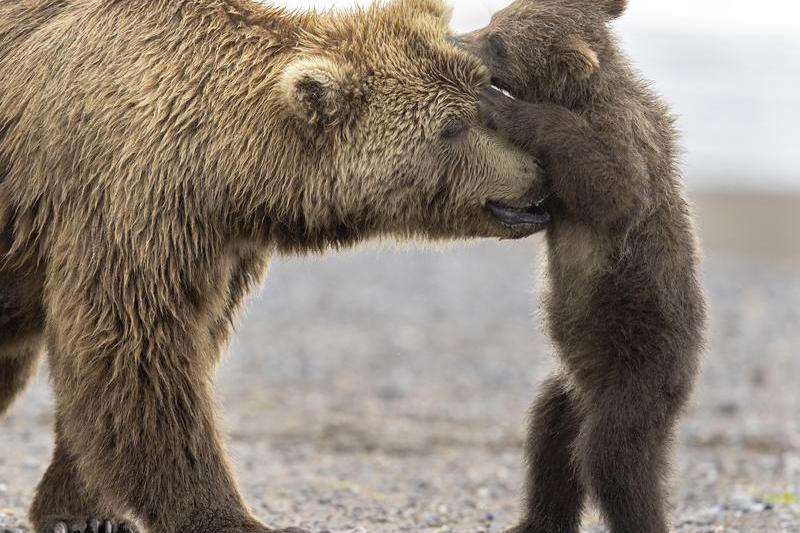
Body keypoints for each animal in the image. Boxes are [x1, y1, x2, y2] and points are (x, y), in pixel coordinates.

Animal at [0, 1, 552, 532]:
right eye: (452, 126)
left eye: (488, 94)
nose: (540, 173)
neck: (226, 170)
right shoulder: (128, 200)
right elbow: (138, 349)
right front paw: (231, 516)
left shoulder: (220, 247)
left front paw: (85, 512)